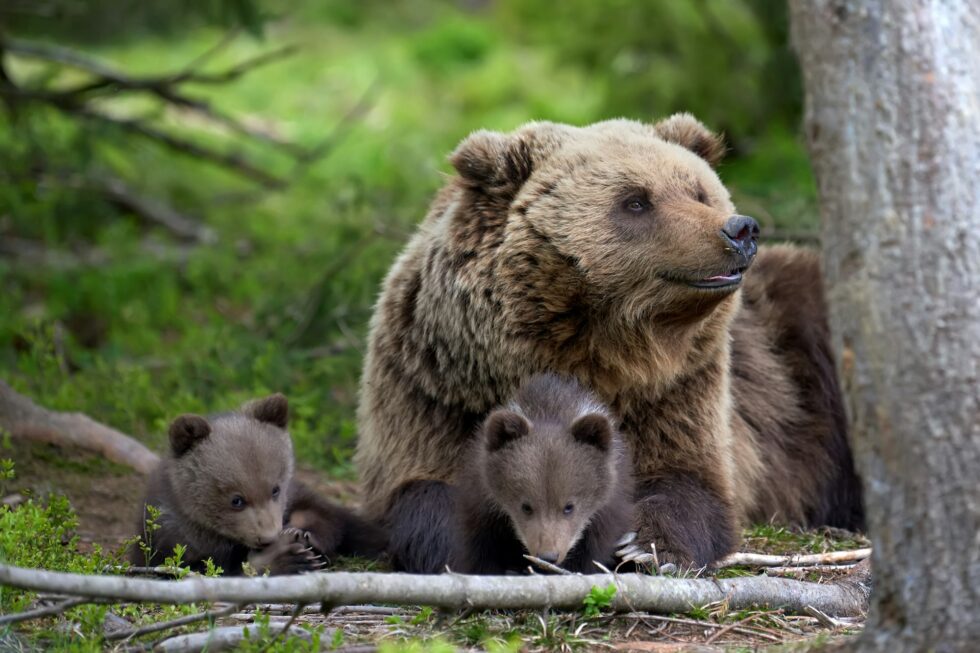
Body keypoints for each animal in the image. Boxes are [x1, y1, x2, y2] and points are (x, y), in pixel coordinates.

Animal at [134, 392, 386, 572]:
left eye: (275, 489)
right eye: (236, 500)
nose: (268, 537)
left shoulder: (295, 493)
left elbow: (325, 515)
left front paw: (304, 534)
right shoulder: (172, 536)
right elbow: (206, 567)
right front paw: (285, 558)